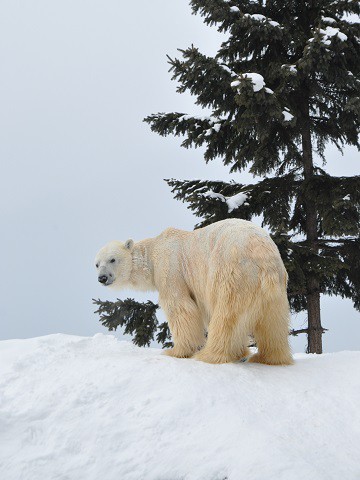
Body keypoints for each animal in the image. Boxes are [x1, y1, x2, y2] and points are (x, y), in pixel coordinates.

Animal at [95, 219, 292, 366]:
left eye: (112, 259)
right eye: (96, 264)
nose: (102, 278)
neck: (154, 250)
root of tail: (263, 254)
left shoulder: (170, 268)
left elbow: (180, 307)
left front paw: (176, 351)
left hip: (232, 272)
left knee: (226, 316)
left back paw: (210, 355)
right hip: (276, 287)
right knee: (273, 323)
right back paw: (268, 357)